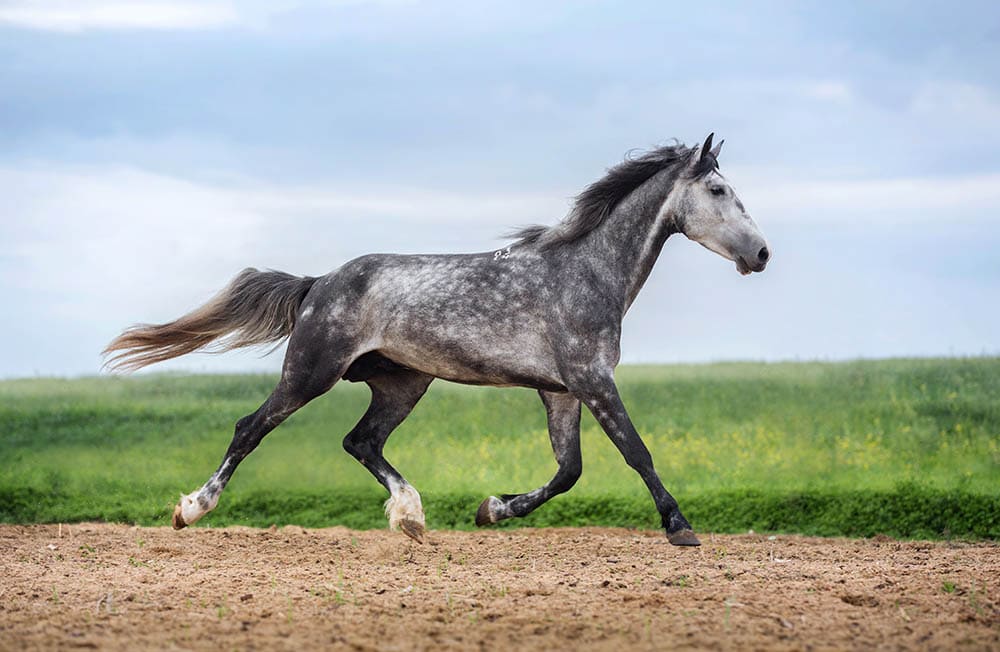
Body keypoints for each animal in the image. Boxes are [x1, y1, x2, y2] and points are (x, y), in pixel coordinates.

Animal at [103, 135, 772, 548]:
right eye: (718, 191)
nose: (762, 254)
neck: (584, 274)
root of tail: (320, 282)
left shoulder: (561, 391)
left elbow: (569, 471)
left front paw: (491, 509)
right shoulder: (592, 380)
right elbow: (636, 452)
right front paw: (680, 526)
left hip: (402, 384)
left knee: (360, 441)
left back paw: (411, 516)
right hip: (311, 373)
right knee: (252, 428)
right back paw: (191, 510)